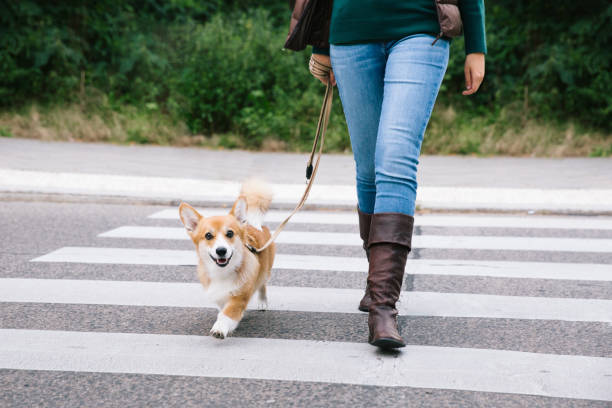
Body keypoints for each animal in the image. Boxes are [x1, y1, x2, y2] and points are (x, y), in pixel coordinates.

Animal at [178, 178, 276, 338]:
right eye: (208, 236)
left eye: (230, 233)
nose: (221, 251)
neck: (222, 272)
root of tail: (253, 223)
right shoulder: (219, 296)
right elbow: (222, 310)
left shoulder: (239, 297)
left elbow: (228, 314)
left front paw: (220, 328)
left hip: (266, 270)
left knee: (262, 284)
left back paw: (262, 301)